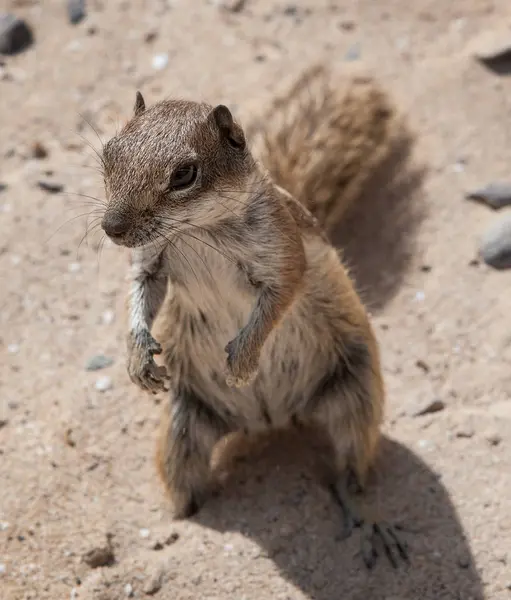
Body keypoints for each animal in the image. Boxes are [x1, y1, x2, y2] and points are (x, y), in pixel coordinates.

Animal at [100, 64, 410, 568]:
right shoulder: (152, 260)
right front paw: (138, 359)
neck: (199, 231)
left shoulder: (284, 256)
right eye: (109, 153)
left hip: (357, 393)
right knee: (186, 488)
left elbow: (277, 302)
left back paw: (371, 520)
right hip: (183, 429)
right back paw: (176, 529)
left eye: (184, 175)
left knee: (351, 470)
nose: (112, 228)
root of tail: (271, 420)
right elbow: (141, 291)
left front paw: (243, 362)